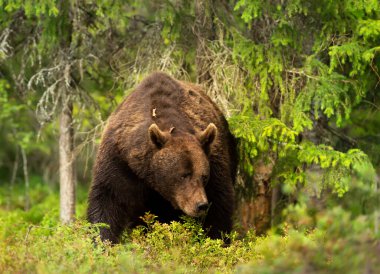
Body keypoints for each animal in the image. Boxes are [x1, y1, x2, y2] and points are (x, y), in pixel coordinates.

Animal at [87, 71, 236, 243]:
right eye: (183, 175)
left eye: (204, 176)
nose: (200, 205)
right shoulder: (119, 162)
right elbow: (108, 201)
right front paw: (102, 240)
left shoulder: (215, 162)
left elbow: (219, 205)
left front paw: (217, 240)